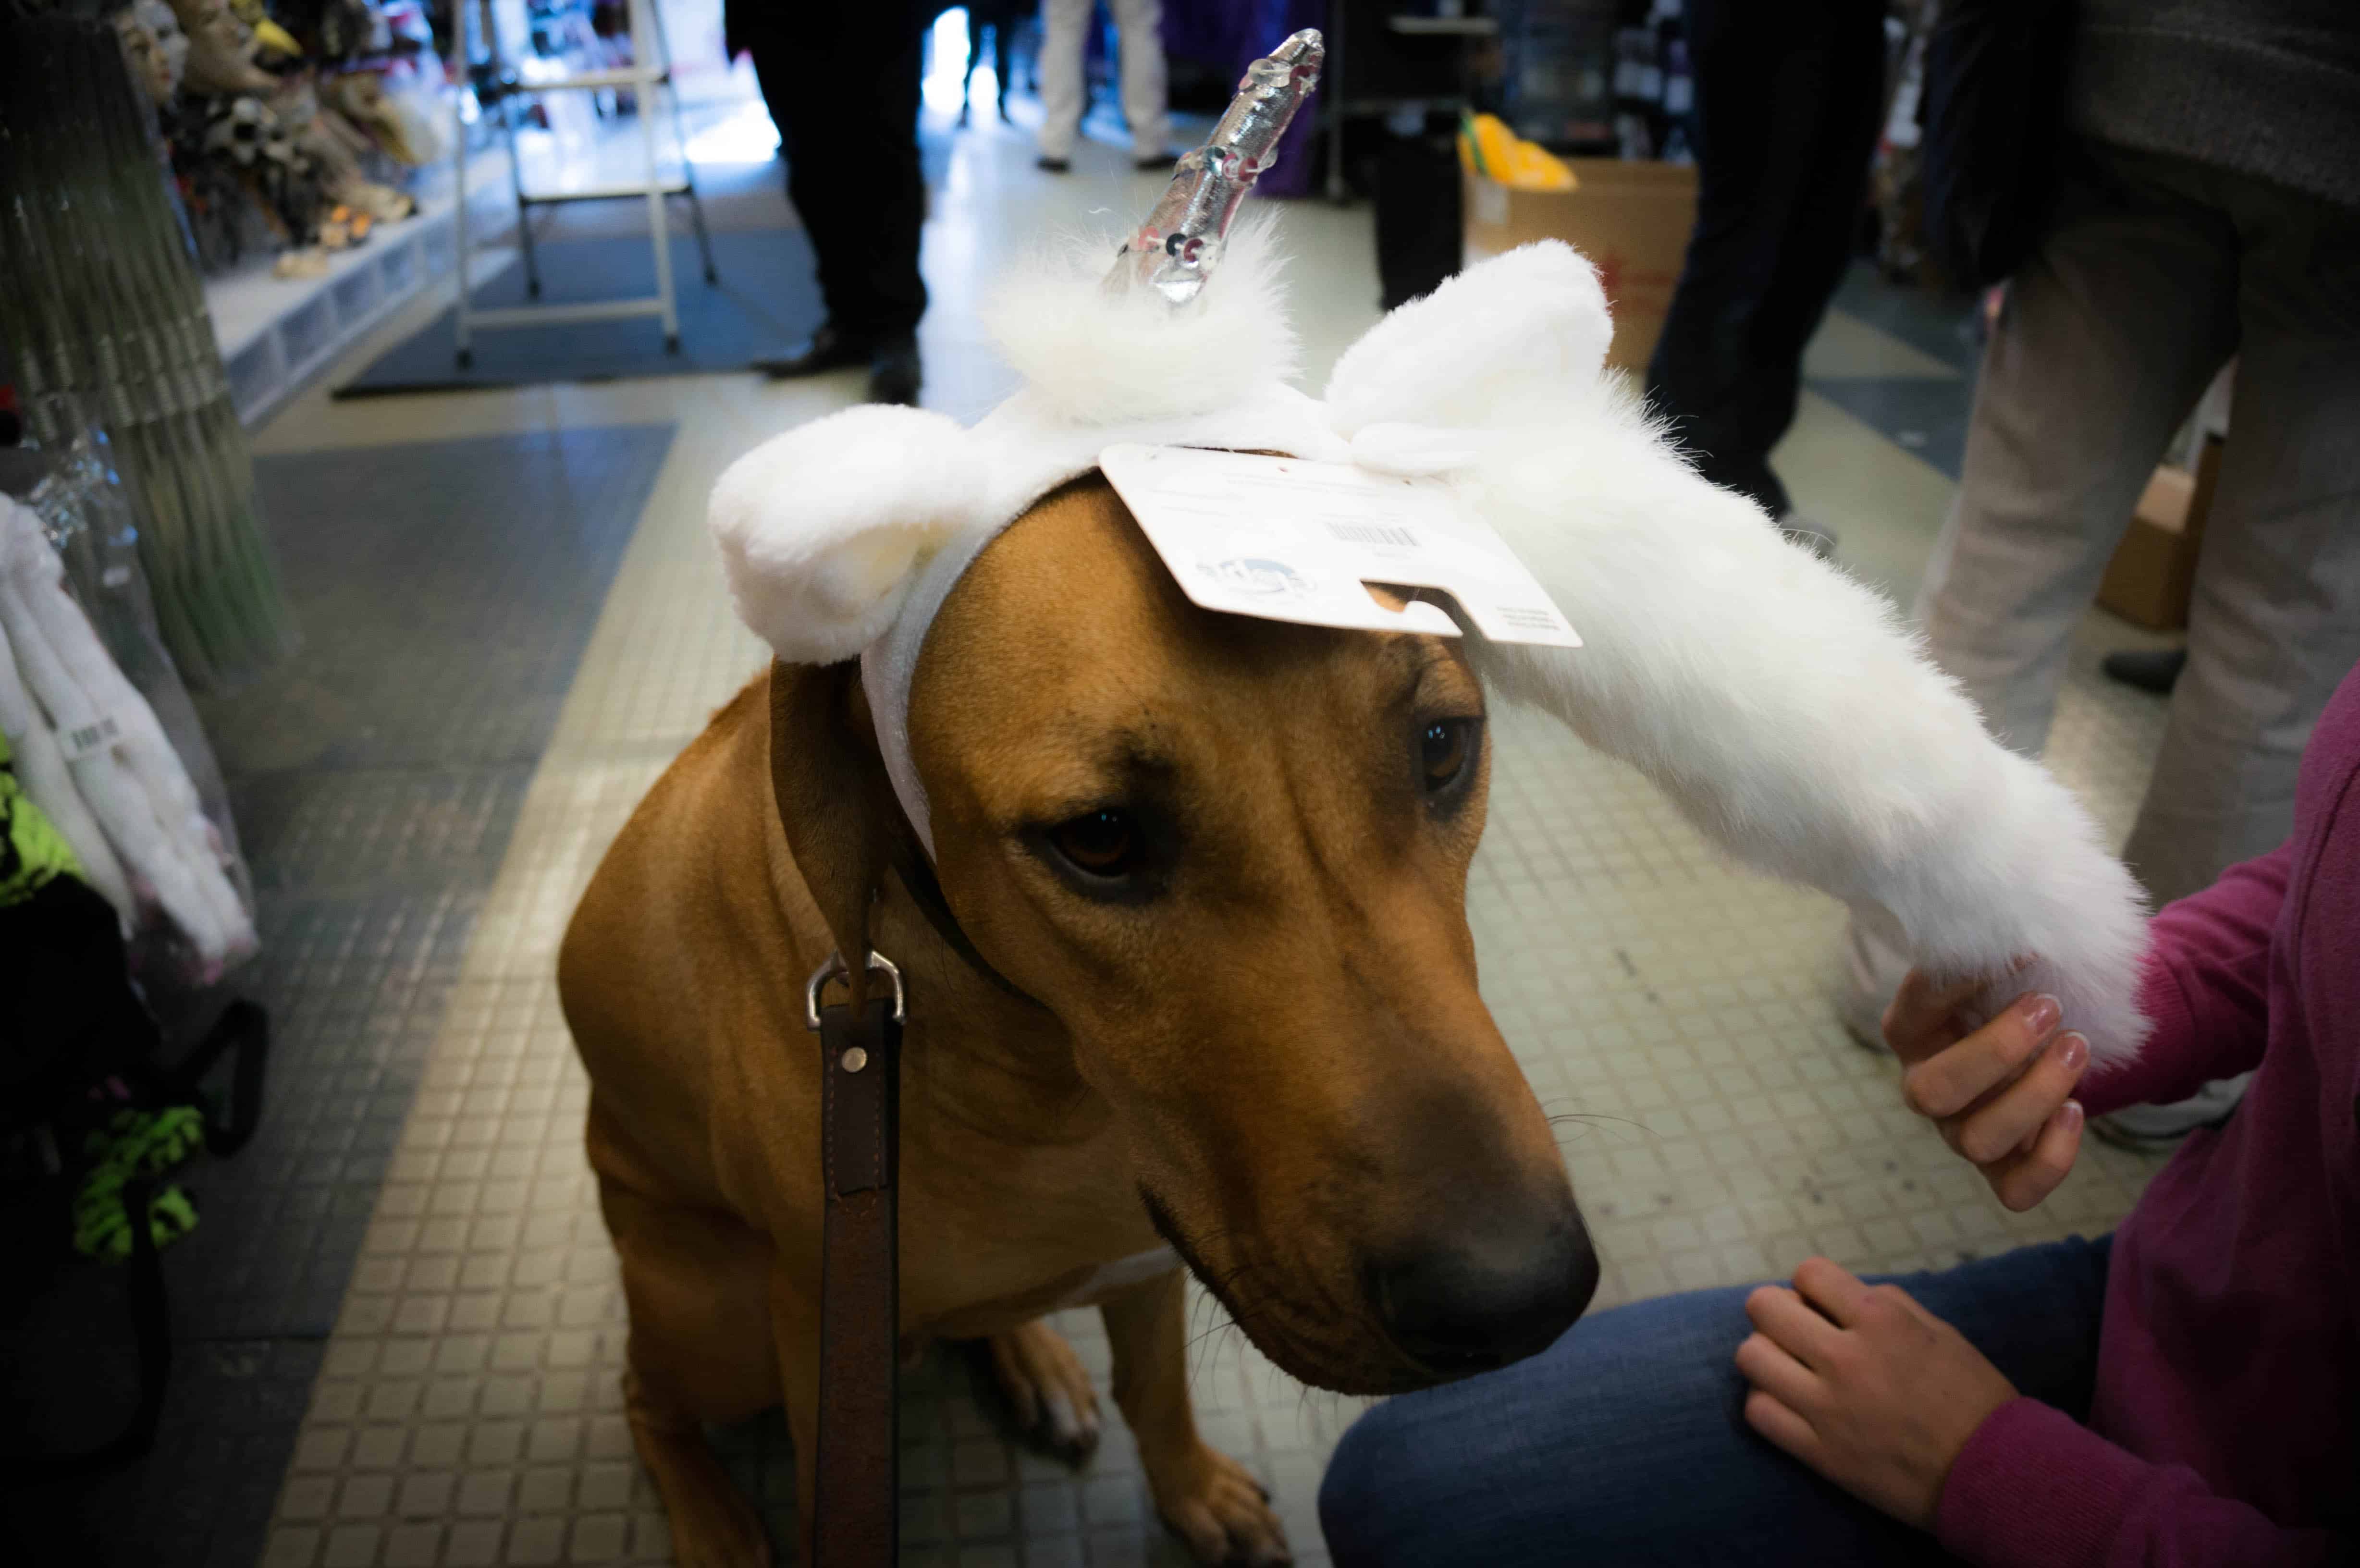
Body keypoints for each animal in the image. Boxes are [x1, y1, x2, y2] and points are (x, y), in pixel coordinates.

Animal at [559, 475, 1595, 1568]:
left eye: (1442, 746)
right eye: (1098, 838)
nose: (1515, 1296)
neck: (1052, 1080)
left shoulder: (1150, 1258)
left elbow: (1157, 1389)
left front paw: (1191, 1489)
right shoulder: (814, 1317)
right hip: (718, 1316)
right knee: (644, 1394)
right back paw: (712, 1519)